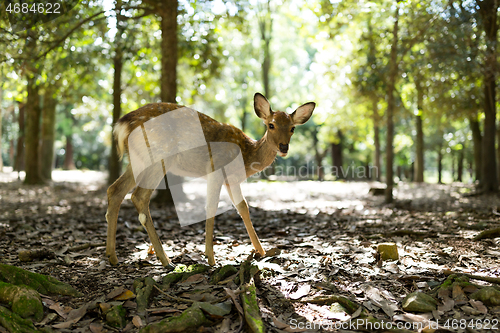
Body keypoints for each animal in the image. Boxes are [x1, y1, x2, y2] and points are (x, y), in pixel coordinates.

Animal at [106, 92, 314, 268]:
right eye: (271, 125)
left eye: (293, 128)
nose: (284, 147)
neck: (247, 156)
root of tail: (123, 124)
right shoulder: (216, 168)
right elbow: (212, 207)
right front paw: (211, 258)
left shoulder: (232, 180)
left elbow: (243, 207)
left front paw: (261, 252)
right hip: (159, 156)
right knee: (139, 196)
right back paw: (166, 261)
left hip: (138, 160)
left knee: (115, 190)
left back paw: (113, 257)